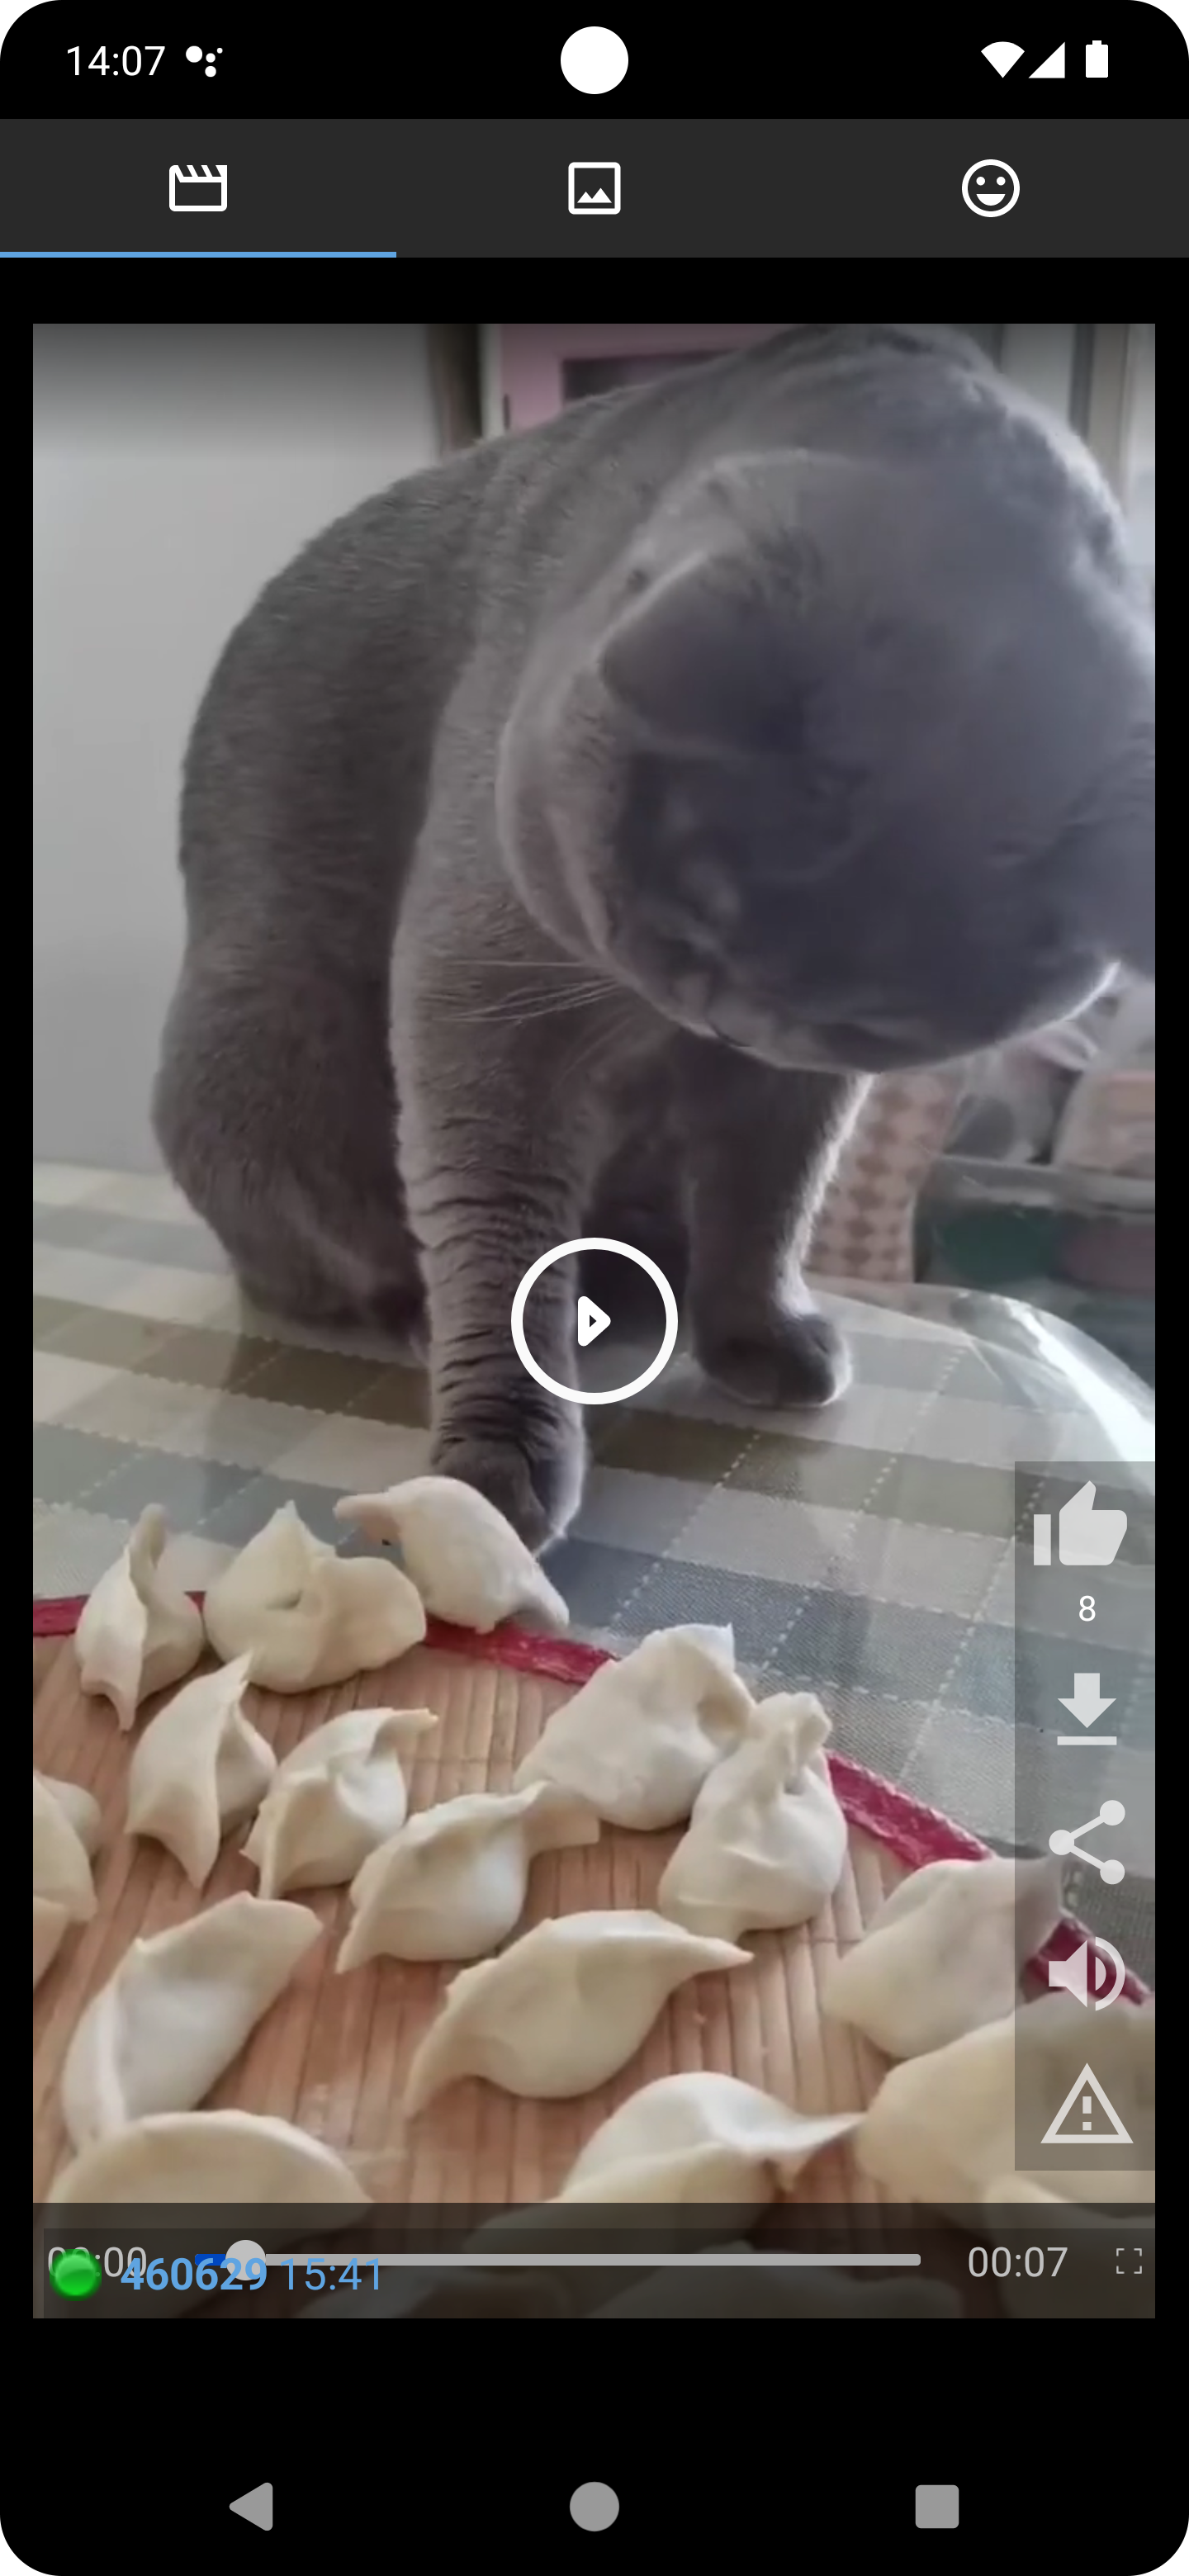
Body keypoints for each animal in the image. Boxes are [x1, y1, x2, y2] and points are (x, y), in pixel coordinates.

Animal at [154, 324, 1155, 1553]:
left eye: (873, 1019)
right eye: (690, 898)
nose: (729, 1018)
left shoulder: (799, 1091)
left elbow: (767, 1204)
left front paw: (760, 1337)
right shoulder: (486, 991)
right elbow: (496, 1233)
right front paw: (496, 1466)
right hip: (257, 1045)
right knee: (309, 1260)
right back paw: (407, 1307)